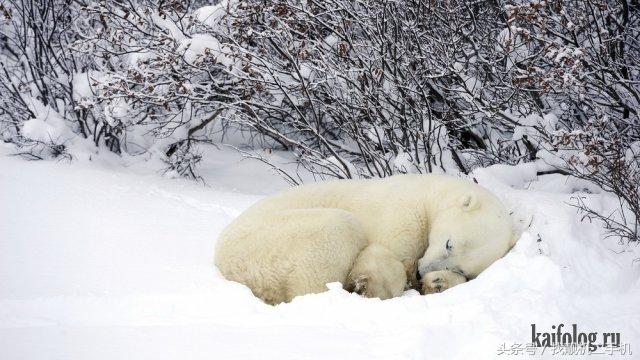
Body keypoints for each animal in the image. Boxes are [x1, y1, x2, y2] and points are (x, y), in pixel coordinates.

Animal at [214, 174, 516, 304]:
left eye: (461, 267)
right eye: (449, 243)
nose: (422, 272)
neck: (429, 194)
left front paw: (438, 282)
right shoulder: (402, 214)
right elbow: (386, 254)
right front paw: (374, 284)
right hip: (272, 241)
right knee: (336, 232)